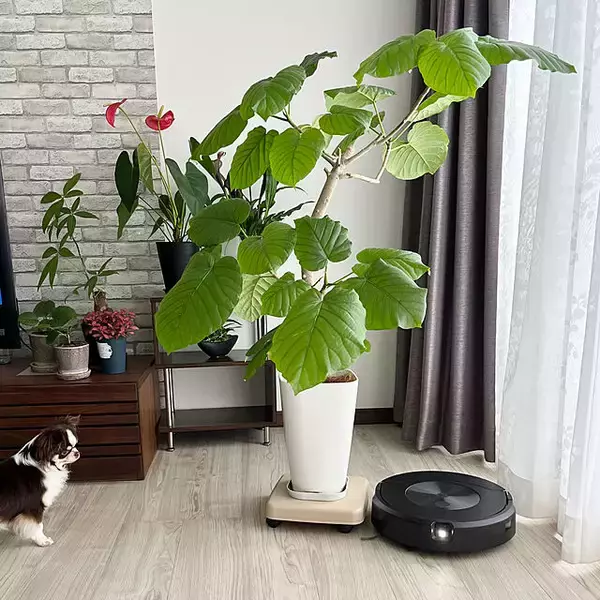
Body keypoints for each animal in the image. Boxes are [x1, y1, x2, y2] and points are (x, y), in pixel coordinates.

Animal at [0, 416, 80, 547]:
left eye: (75, 445)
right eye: (64, 452)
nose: (77, 453)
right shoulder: (34, 505)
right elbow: (38, 526)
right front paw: (42, 540)